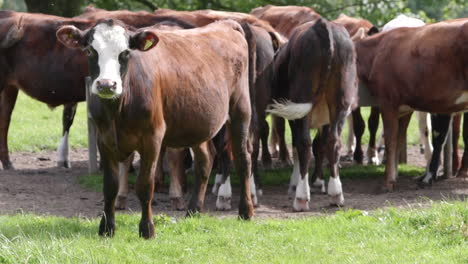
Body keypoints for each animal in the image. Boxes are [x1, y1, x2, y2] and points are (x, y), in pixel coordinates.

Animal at [354, 20, 468, 190]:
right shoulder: (405, 109)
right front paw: (394, 176)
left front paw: (387, 183)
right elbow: (399, 139)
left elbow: (391, 140)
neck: (377, 52)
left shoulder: (388, 102)